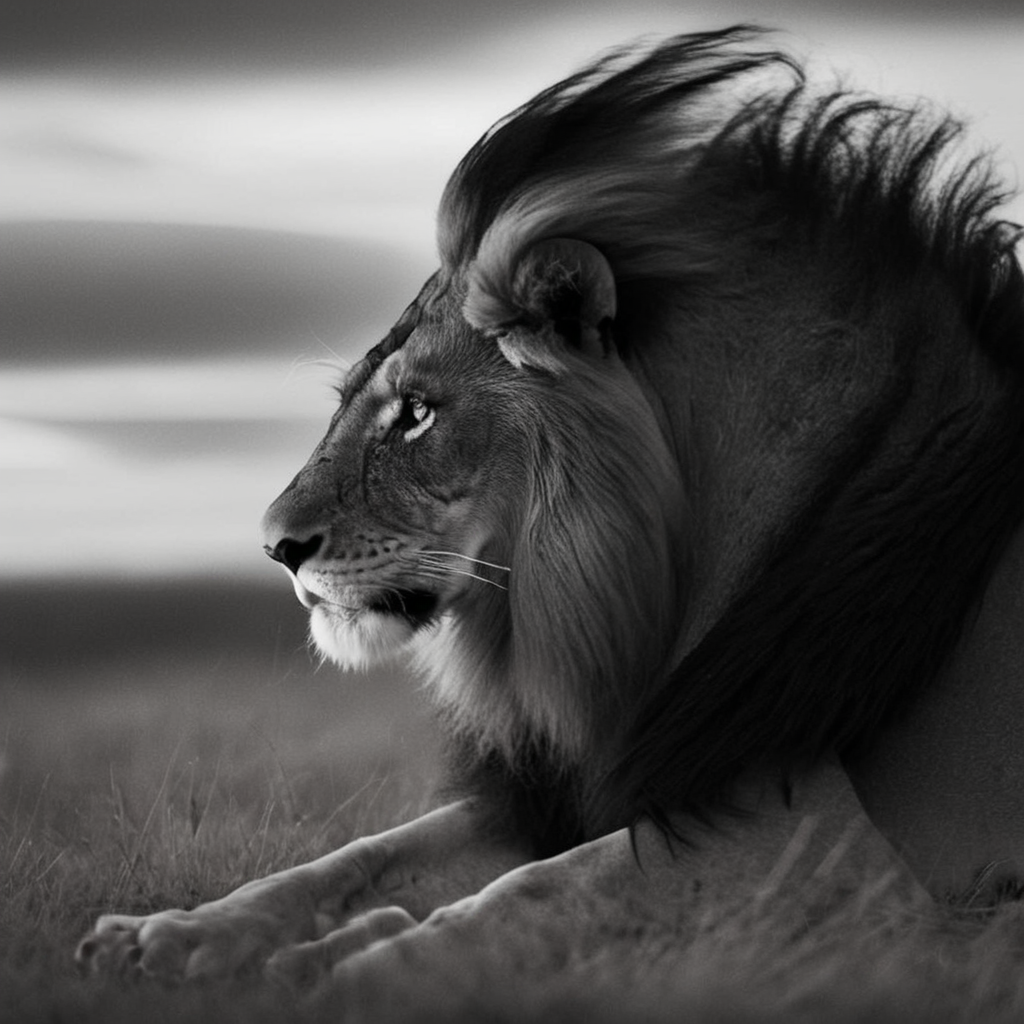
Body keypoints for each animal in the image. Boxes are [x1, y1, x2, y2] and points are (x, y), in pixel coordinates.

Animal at [77, 26, 1023, 1017]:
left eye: (417, 412)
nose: (274, 546)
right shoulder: (570, 792)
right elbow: (360, 858)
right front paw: (173, 932)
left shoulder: (832, 838)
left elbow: (541, 889)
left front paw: (339, 967)